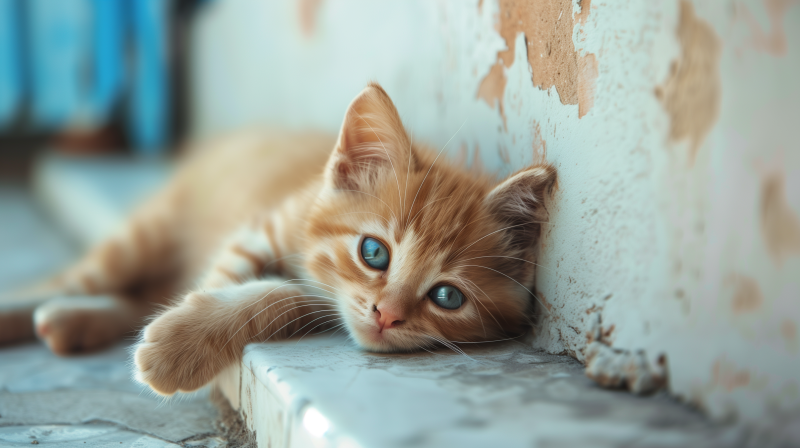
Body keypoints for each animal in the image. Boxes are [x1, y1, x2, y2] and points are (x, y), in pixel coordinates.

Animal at [0, 84, 556, 396]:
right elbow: (224, 279)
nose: (387, 316)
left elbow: (278, 295)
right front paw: (184, 341)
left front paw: (183, 341)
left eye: (447, 296)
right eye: (374, 253)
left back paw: (74, 321)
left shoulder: (313, 289)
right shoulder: (262, 229)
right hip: (147, 232)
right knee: (80, 277)